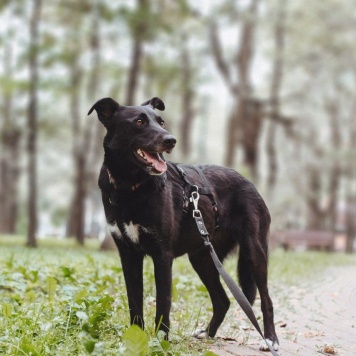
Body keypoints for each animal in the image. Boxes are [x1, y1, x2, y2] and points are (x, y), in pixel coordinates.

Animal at [88, 96, 278, 350]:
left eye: (161, 122)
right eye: (139, 121)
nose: (171, 140)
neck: (131, 186)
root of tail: (249, 182)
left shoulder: (162, 256)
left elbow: (162, 304)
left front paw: (161, 342)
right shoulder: (128, 255)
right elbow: (134, 302)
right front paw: (134, 340)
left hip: (254, 250)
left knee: (266, 299)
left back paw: (270, 339)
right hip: (202, 257)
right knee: (223, 300)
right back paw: (208, 333)